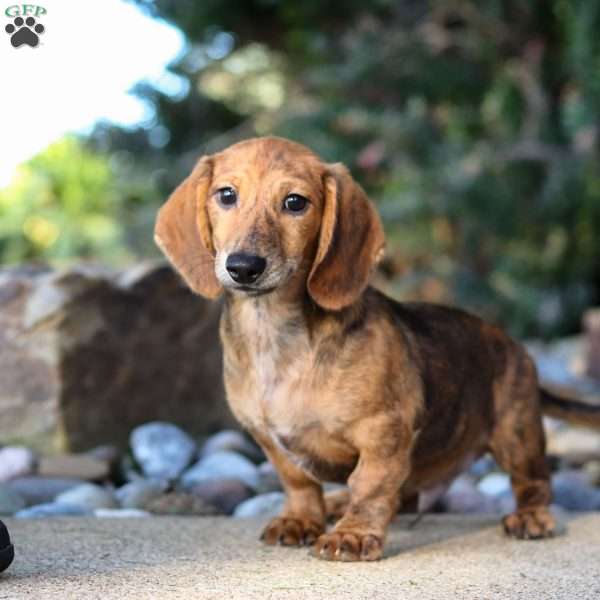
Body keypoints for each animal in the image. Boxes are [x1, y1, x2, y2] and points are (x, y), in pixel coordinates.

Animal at [155, 137, 600, 564]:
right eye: (226, 195)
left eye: (295, 202)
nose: (244, 267)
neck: (275, 335)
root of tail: (513, 346)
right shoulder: (266, 437)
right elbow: (298, 481)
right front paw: (301, 520)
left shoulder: (384, 431)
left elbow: (370, 484)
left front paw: (352, 535)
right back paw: (337, 504)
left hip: (516, 434)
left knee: (534, 482)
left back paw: (532, 517)